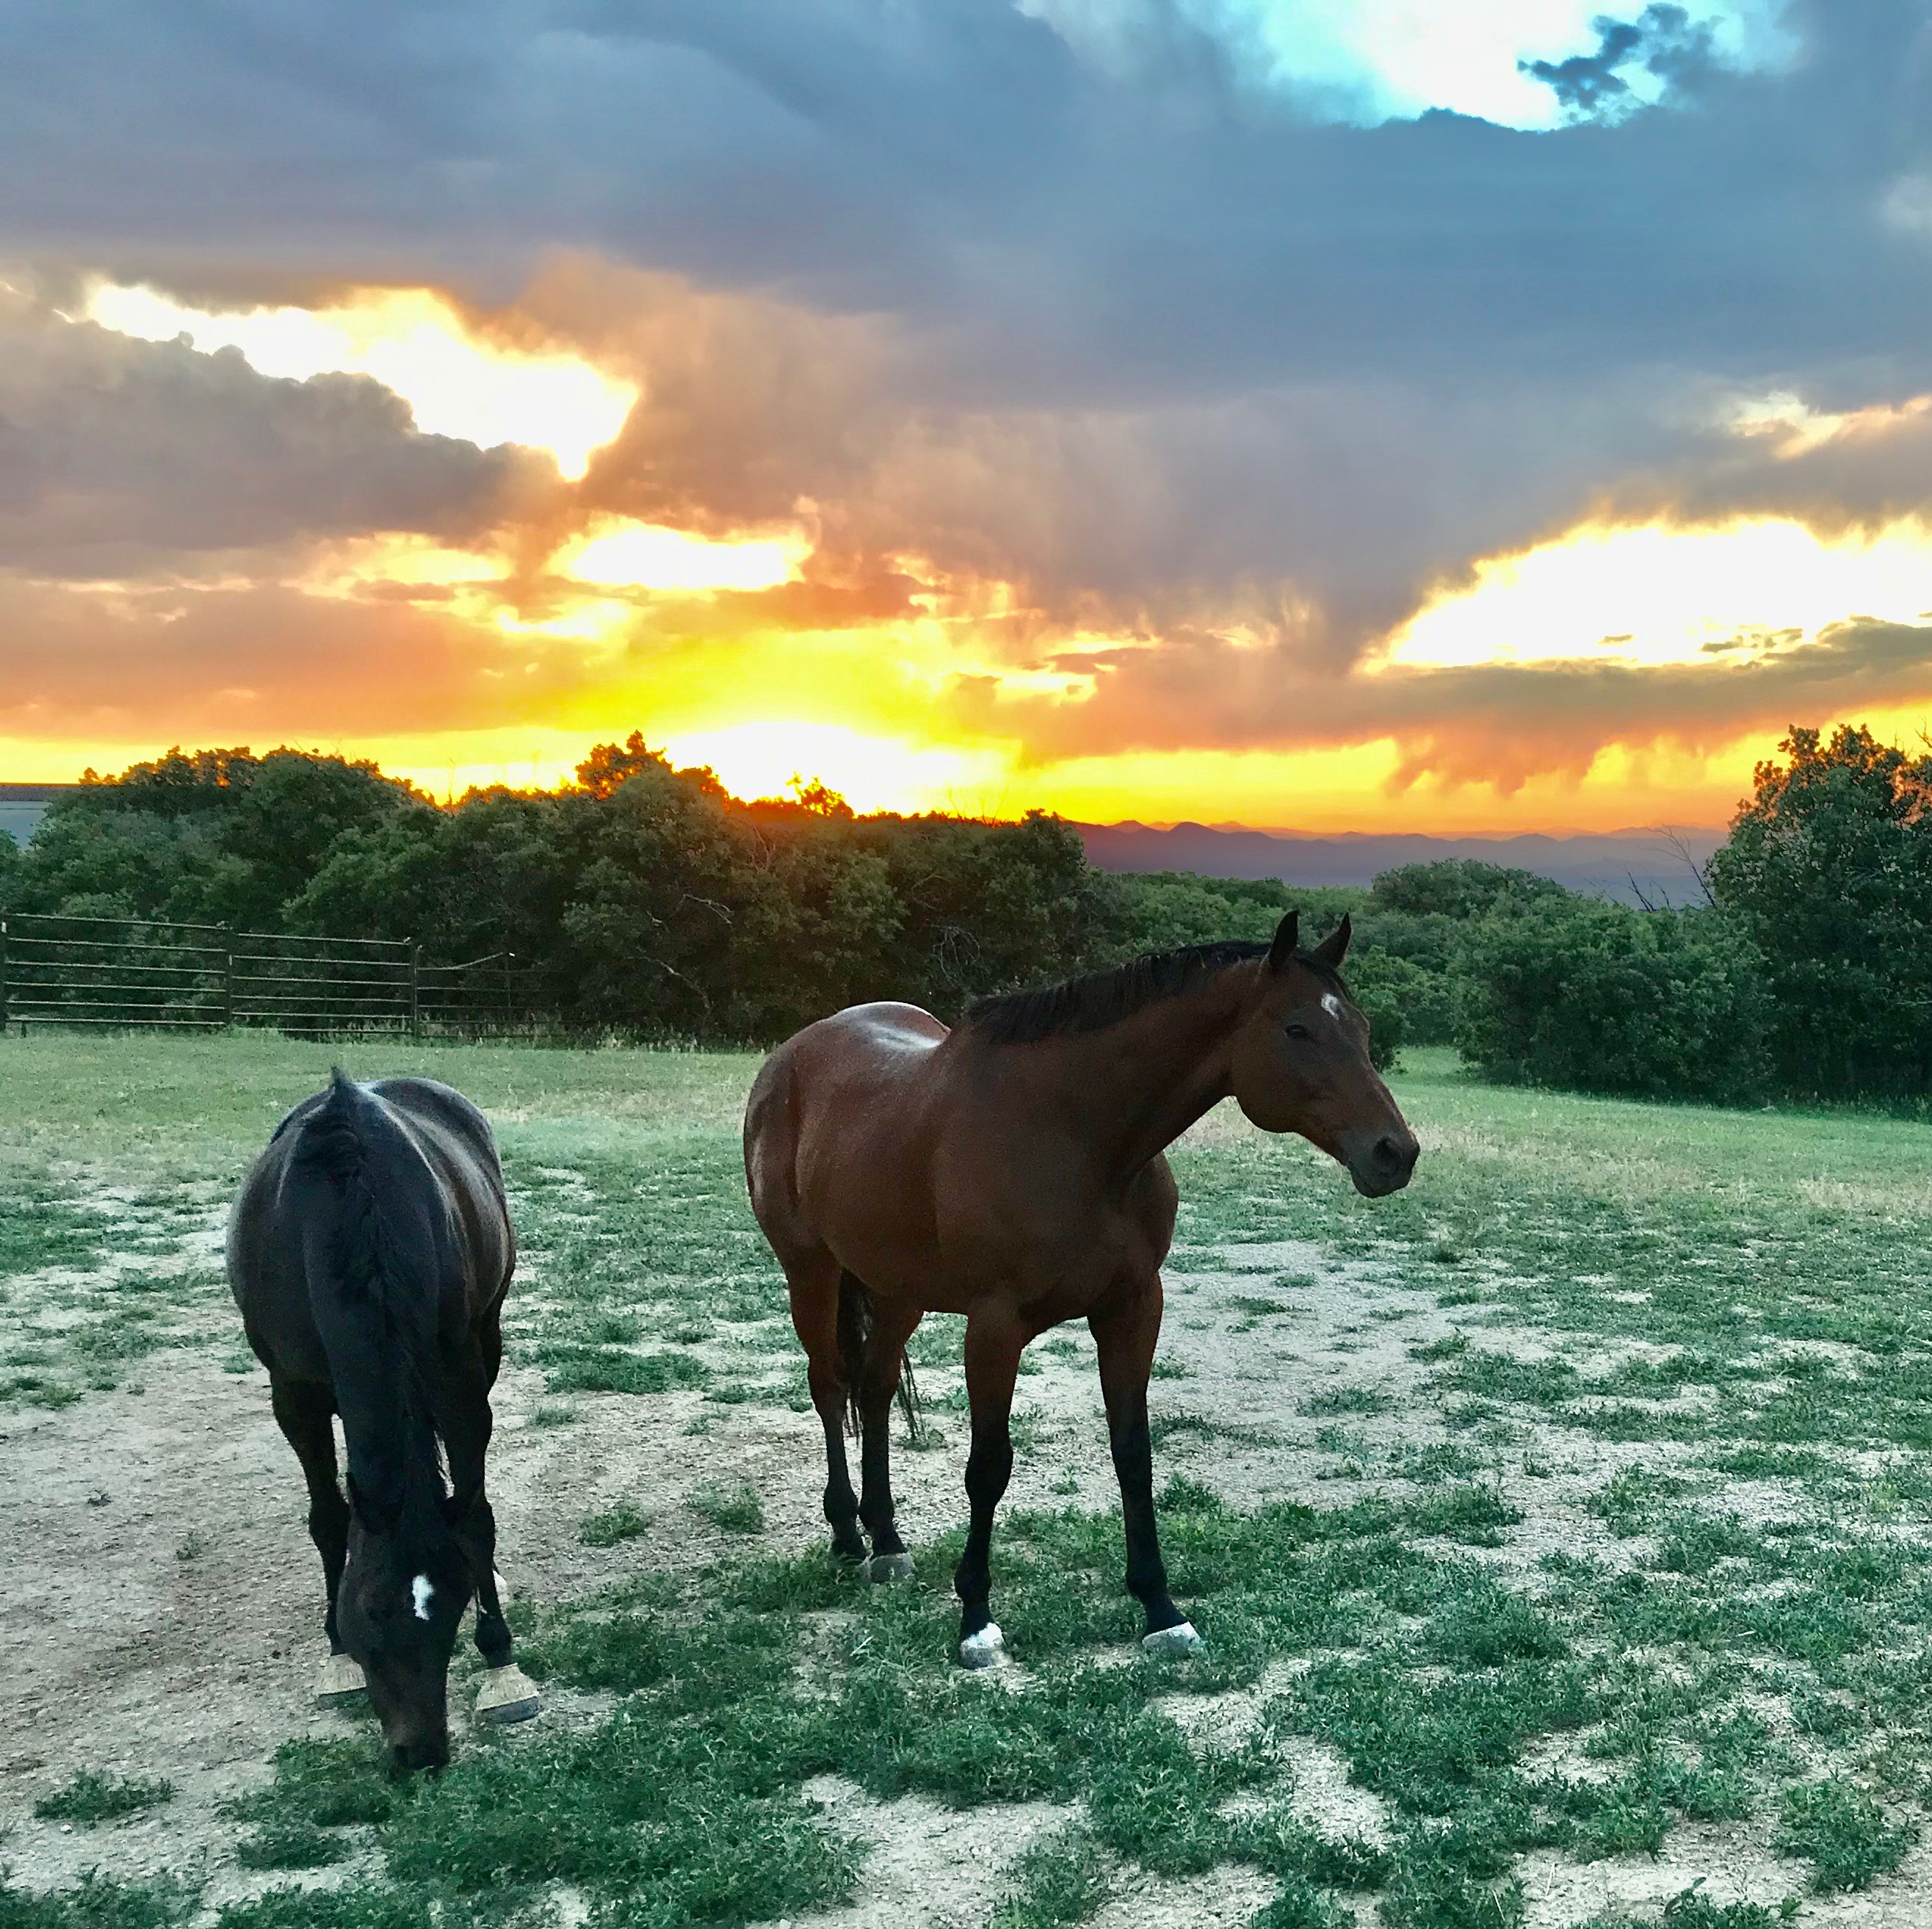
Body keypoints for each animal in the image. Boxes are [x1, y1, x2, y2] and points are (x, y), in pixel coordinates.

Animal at [228, 1070, 539, 1771]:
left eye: (449, 1608)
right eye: (367, 1612)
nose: (420, 1753)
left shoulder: (459, 1379)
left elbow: (473, 1515)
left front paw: (502, 1664)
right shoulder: (294, 1395)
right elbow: (328, 1519)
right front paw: (337, 1657)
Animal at [744, 911, 1418, 1668]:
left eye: (1359, 1027)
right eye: (1297, 1028)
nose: (1395, 1152)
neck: (1077, 1137)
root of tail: (791, 1055)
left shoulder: (1131, 1309)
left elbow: (1133, 1454)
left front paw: (1160, 1609)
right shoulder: (995, 1325)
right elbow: (988, 1466)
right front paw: (975, 1618)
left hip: (897, 1290)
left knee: (876, 1388)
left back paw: (886, 1541)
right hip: (810, 1270)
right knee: (831, 1387)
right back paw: (845, 1537)